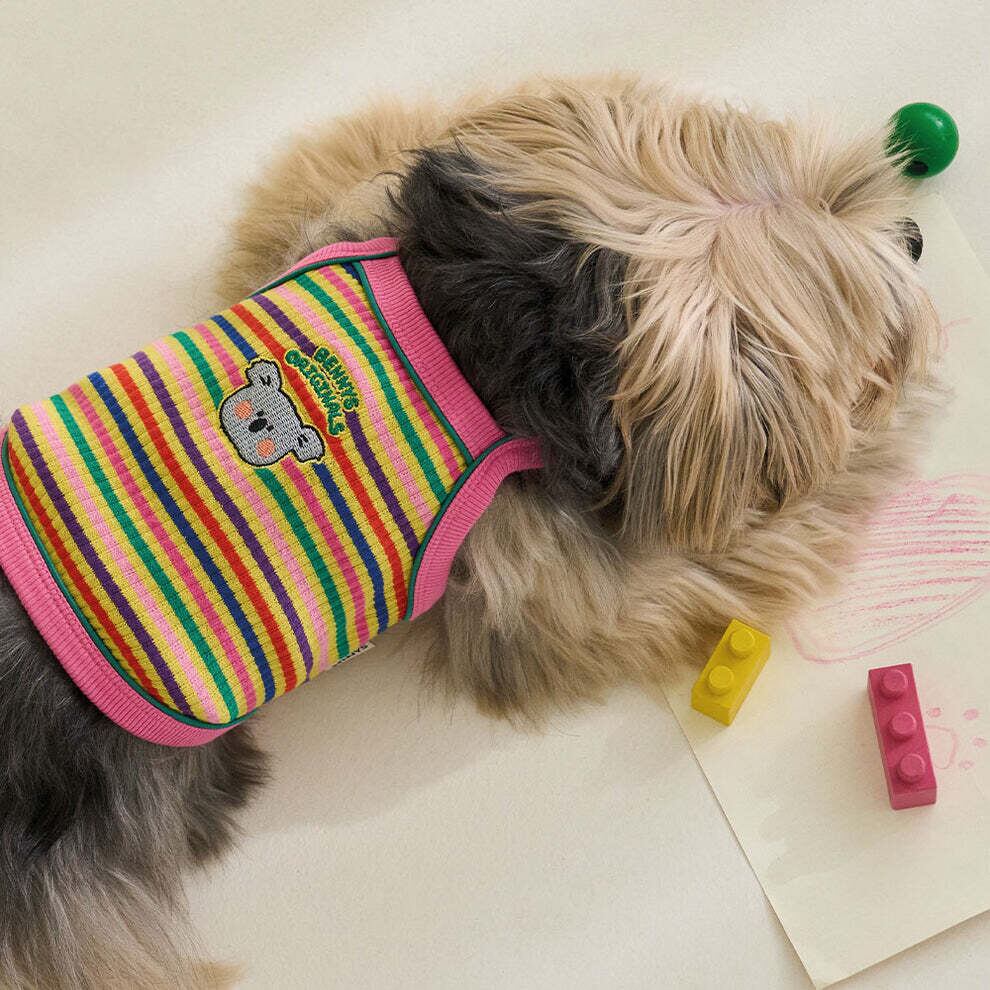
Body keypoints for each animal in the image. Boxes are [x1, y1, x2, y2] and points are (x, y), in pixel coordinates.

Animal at [0, 76, 939, 988]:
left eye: (849, 185)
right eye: (868, 319)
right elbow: (760, 544)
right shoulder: (571, 594)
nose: (918, 234)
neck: (477, 332)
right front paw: (891, 428)